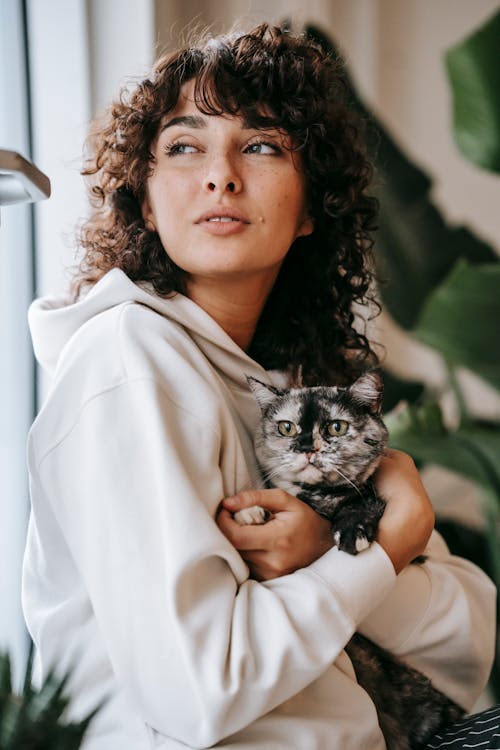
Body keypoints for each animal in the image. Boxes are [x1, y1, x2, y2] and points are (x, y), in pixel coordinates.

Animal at [235, 372, 464, 750]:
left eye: (336, 427)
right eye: (286, 428)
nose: (307, 448)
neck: (317, 499)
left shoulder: (374, 503)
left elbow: (362, 503)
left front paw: (351, 531)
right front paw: (249, 512)